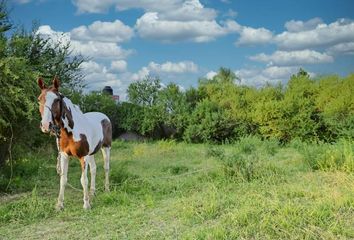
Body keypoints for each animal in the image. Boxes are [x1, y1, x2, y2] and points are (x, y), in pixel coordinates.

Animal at [36, 77, 111, 210]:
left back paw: (106, 189)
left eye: (56, 100)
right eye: (39, 99)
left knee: (106, 167)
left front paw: (86, 204)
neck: (71, 132)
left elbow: (83, 180)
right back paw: (92, 192)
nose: (45, 125)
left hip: (106, 148)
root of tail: (104, 117)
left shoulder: (83, 157)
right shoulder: (64, 156)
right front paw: (59, 205)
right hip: (91, 154)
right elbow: (63, 179)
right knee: (94, 169)